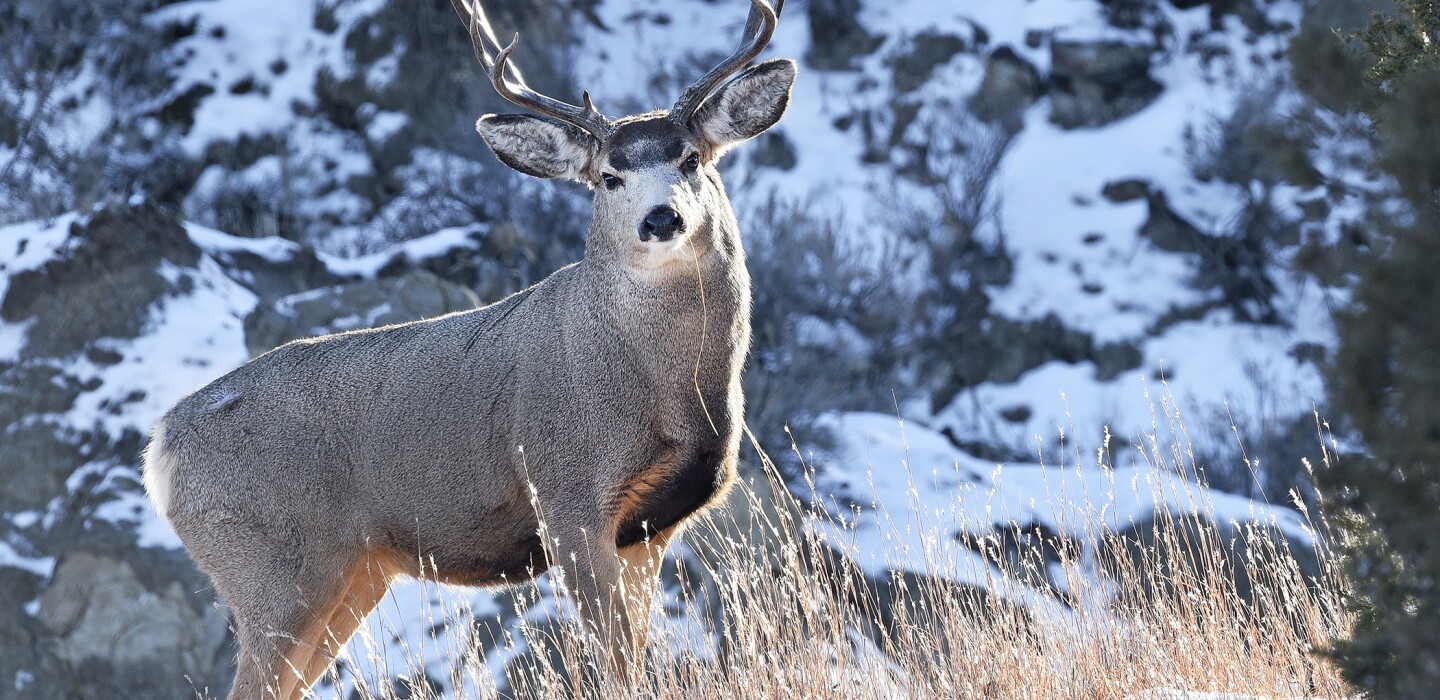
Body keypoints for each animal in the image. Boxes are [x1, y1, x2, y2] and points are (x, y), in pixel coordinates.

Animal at [140, 1, 793, 697]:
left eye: (693, 158)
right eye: (608, 177)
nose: (662, 219)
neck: (670, 392)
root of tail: (161, 447)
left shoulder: (652, 526)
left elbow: (636, 656)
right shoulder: (566, 497)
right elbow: (613, 663)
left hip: (353, 573)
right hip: (270, 568)